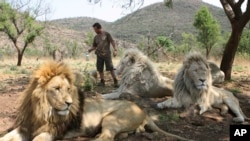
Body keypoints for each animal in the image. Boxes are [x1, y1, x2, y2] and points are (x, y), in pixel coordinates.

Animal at [0, 60, 191, 141]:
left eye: (68, 89)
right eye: (56, 89)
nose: (69, 103)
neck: (42, 110)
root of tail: (144, 111)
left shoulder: (53, 131)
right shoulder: (25, 127)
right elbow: (7, 136)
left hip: (112, 118)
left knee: (107, 137)